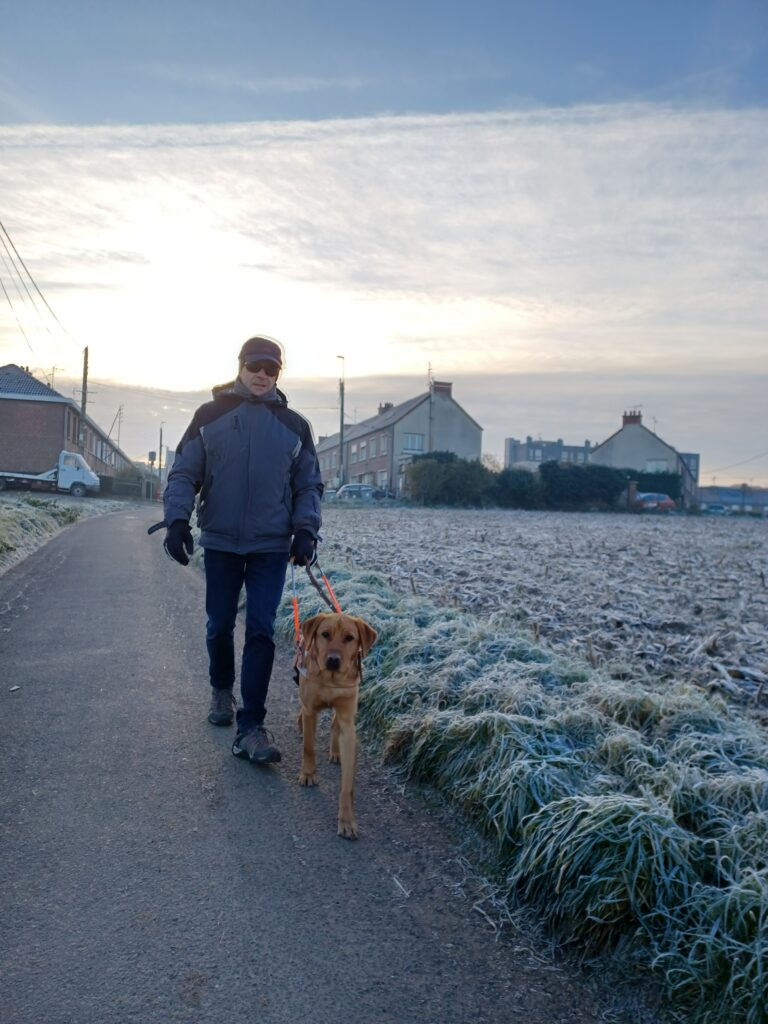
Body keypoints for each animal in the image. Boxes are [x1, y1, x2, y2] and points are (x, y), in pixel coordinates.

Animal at [296, 610, 376, 835]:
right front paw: (308, 774)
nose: (333, 660)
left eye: (349, 638)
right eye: (325, 634)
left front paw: (347, 820)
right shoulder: (310, 710)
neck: (331, 680)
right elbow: (308, 747)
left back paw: (335, 751)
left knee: (334, 724)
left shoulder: (348, 722)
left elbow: (348, 785)